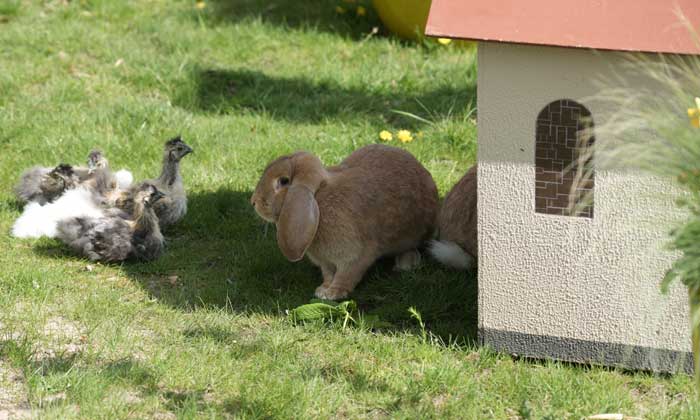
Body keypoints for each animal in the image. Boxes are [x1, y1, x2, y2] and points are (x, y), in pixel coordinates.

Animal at [250, 145, 438, 302]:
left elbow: (346, 275)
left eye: (283, 181)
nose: (254, 202)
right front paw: (323, 289)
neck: (319, 197)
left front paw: (333, 293)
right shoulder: (325, 261)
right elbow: (328, 274)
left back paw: (406, 263)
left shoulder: (356, 255)